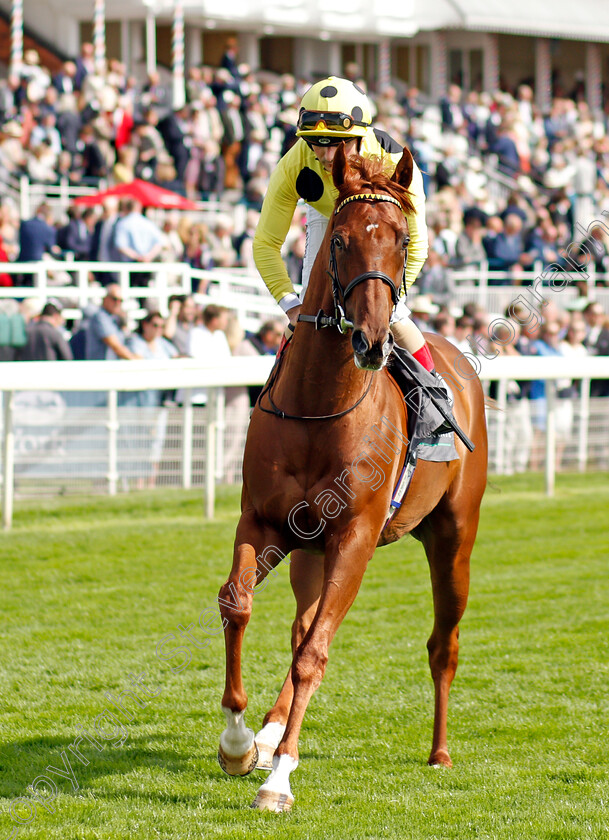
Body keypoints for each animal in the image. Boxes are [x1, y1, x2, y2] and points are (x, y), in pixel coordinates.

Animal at [216, 146, 486, 812]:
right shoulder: (263, 522)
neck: (320, 405)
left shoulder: (355, 538)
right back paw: (265, 734)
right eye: (338, 241)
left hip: (454, 538)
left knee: (443, 643)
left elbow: (316, 651)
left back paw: (440, 752)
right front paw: (238, 742)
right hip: (309, 551)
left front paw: (279, 779)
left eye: (400, 239)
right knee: (298, 624)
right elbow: (239, 606)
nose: (370, 341)